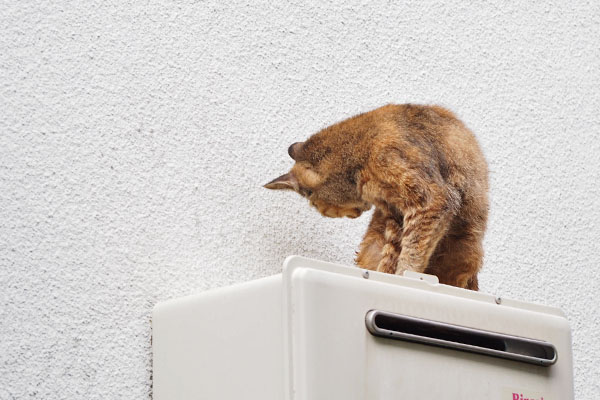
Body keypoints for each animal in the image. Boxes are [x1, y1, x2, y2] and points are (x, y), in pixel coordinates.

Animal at [264, 104, 490, 290]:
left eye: (320, 208)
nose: (352, 216)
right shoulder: (394, 216)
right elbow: (391, 253)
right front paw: (386, 273)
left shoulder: (432, 199)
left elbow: (413, 249)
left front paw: (405, 275)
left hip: (462, 249)